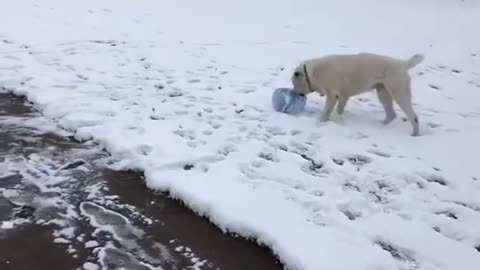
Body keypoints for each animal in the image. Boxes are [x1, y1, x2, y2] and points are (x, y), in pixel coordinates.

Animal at [290, 52, 426, 136]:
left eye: (294, 84)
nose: (296, 94)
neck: (313, 72)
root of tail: (402, 63)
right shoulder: (343, 96)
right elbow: (339, 109)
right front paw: (339, 118)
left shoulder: (333, 95)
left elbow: (326, 111)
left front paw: (320, 122)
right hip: (383, 93)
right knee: (391, 114)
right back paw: (381, 126)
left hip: (399, 93)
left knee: (413, 116)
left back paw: (415, 134)